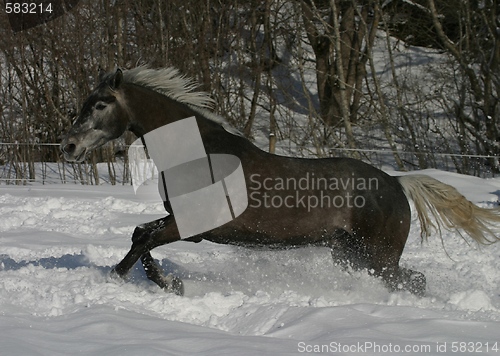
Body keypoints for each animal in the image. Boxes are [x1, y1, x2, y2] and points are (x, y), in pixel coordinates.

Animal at [61, 66, 500, 294]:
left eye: (101, 104)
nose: (68, 145)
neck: (200, 153)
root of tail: (396, 183)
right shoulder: (180, 222)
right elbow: (141, 235)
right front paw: (160, 282)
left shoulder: (195, 228)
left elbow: (144, 240)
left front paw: (142, 281)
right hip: (351, 254)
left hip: (379, 257)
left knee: (413, 281)